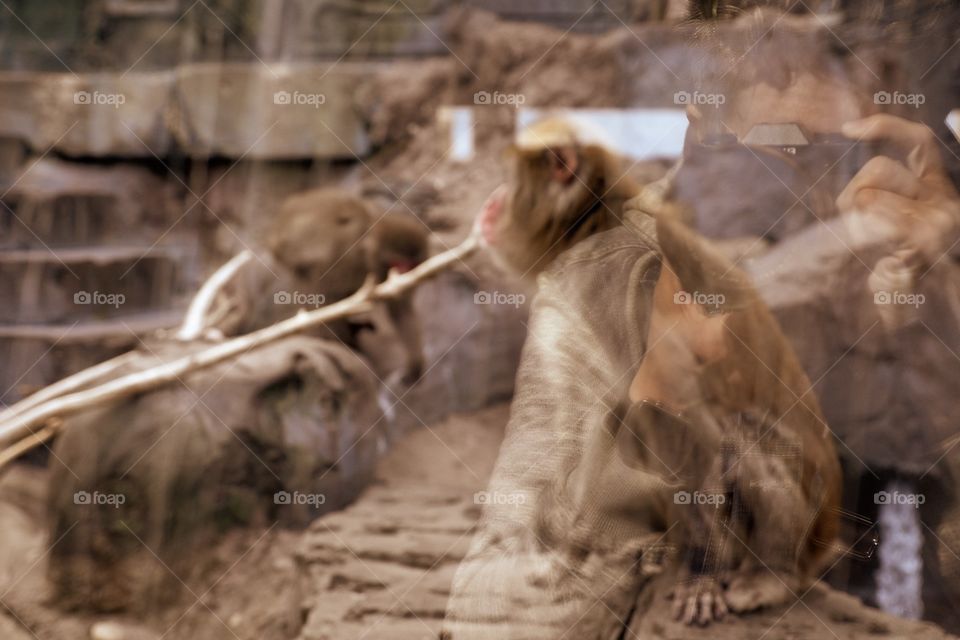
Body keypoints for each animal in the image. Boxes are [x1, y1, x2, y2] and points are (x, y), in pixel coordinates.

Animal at [442, 119, 840, 636]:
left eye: (509, 180)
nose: (490, 200)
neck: (600, 218)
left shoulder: (599, 281)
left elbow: (682, 423)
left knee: (726, 431)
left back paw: (771, 576)